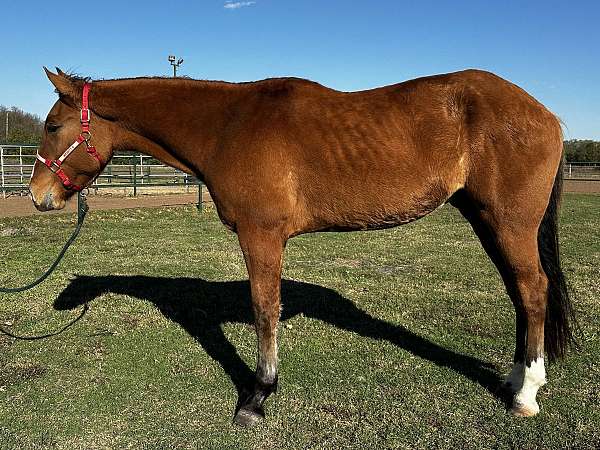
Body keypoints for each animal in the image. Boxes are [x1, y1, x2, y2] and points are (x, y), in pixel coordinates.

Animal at [30, 67, 576, 426]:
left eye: (53, 126)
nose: (38, 196)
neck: (227, 126)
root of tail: (545, 115)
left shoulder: (262, 236)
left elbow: (264, 310)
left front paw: (256, 398)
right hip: (488, 221)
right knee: (521, 293)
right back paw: (515, 379)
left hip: (508, 224)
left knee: (532, 290)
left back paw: (526, 394)